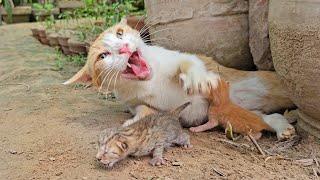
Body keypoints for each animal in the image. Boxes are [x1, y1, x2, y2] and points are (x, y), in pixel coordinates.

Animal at [64, 17, 296, 139]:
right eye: (102, 56)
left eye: (120, 33)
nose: (124, 48)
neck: (150, 82)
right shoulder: (134, 102)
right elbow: (144, 109)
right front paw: (135, 120)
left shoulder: (180, 57)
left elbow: (188, 62)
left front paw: (198, 79)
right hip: (248, 112)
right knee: (271, 117)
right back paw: (283, 128)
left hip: (270, 85)